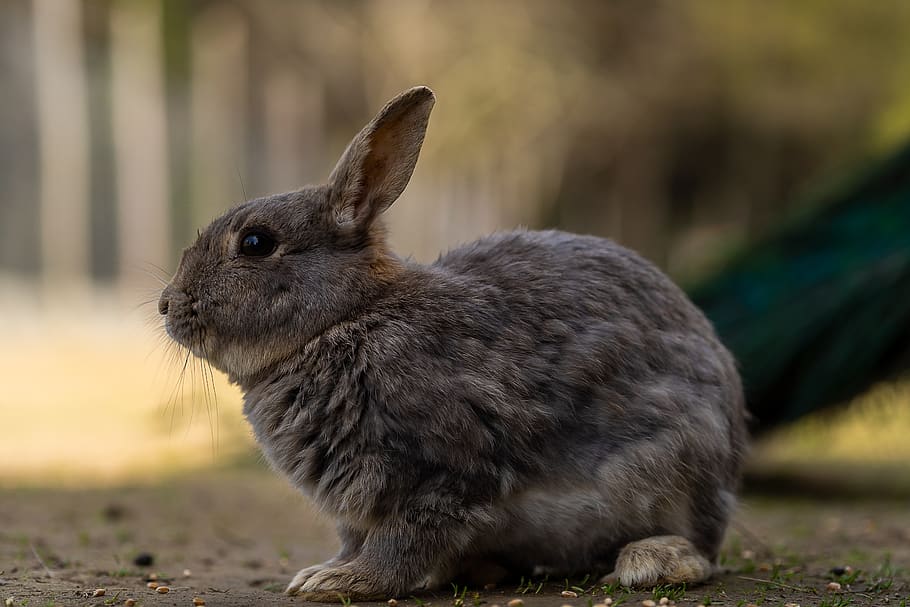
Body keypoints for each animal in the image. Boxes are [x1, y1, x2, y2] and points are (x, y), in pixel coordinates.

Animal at [158, 86, 748, 601]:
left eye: (256, 243)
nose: (167, 304)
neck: (346, 320)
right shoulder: (358, 508)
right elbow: (355, 541)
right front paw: (322, 572)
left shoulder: (438, 475)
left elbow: (401, 544)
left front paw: (337, 583)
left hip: (675, 467)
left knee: (700, 548)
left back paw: (649, 562)